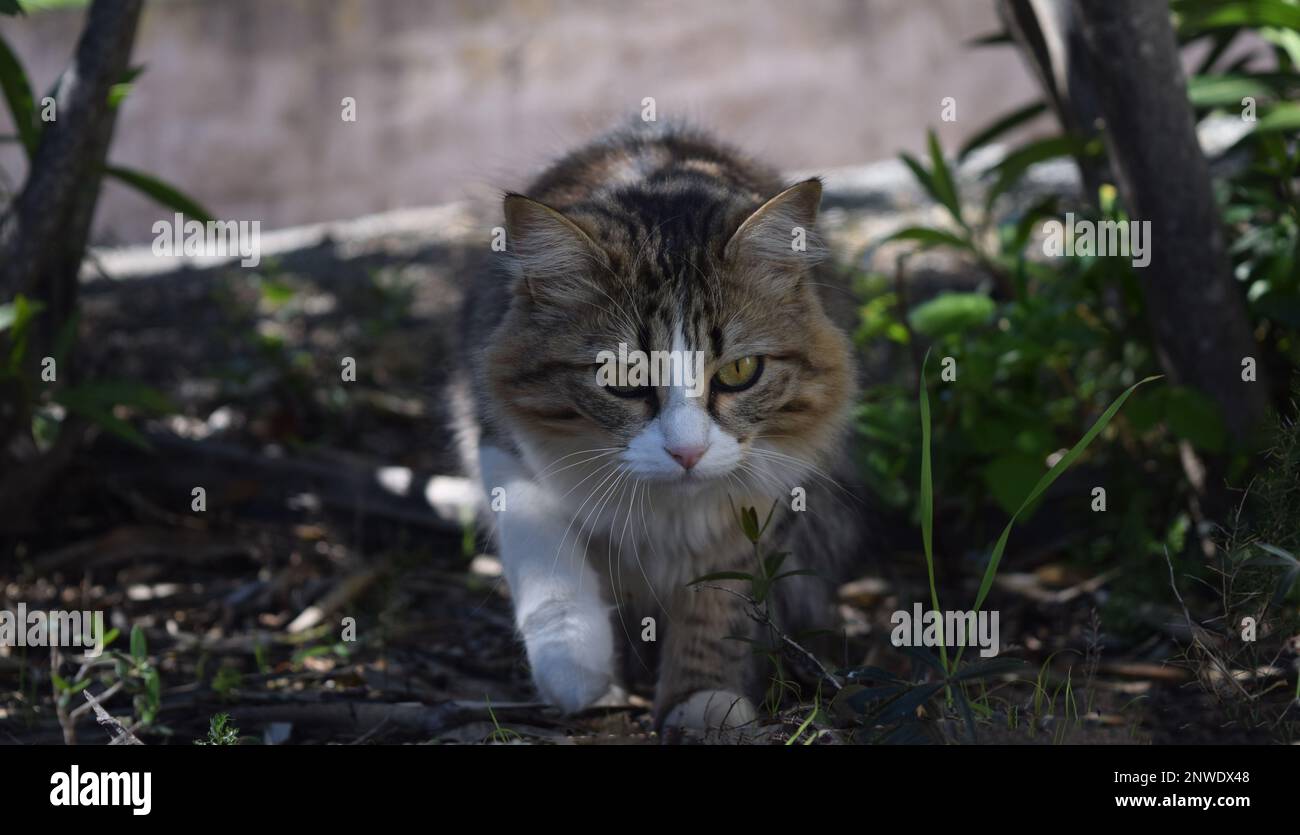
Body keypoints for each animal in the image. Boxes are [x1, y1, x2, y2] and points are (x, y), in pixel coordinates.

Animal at [452, 120, 868, 733]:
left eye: (740, 372)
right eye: (621, 378)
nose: (686, 453)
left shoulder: (761, 500)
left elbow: (720, 607)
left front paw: (702, 700)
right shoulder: (497, 430)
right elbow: (544, 550)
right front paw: (574, 665)